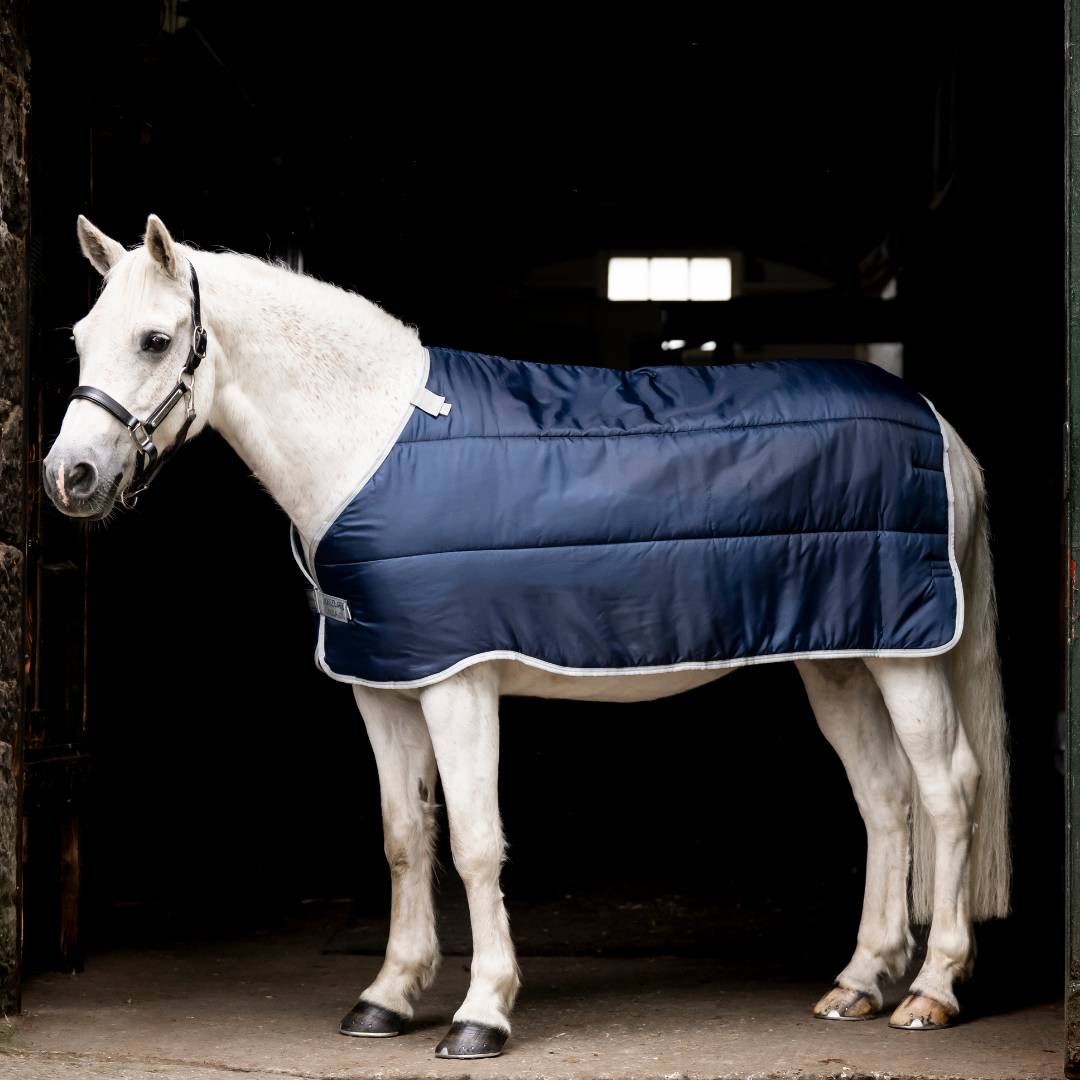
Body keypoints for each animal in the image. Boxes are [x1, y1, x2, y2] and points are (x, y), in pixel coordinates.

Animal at [42, 214, 1010, 1059]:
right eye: (82, 338)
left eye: (156, 340)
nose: (69, 477)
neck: (375, 438)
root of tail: (938, 425)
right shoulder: (383, 683)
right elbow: (404, 837)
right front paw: (388, 996)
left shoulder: (457, 682)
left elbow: (475, 844)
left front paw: (482, 1015)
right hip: (838, 657)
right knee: (883, 797)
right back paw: (859, 981)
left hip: (905, 658)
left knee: (946, 790)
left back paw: (931, 989)